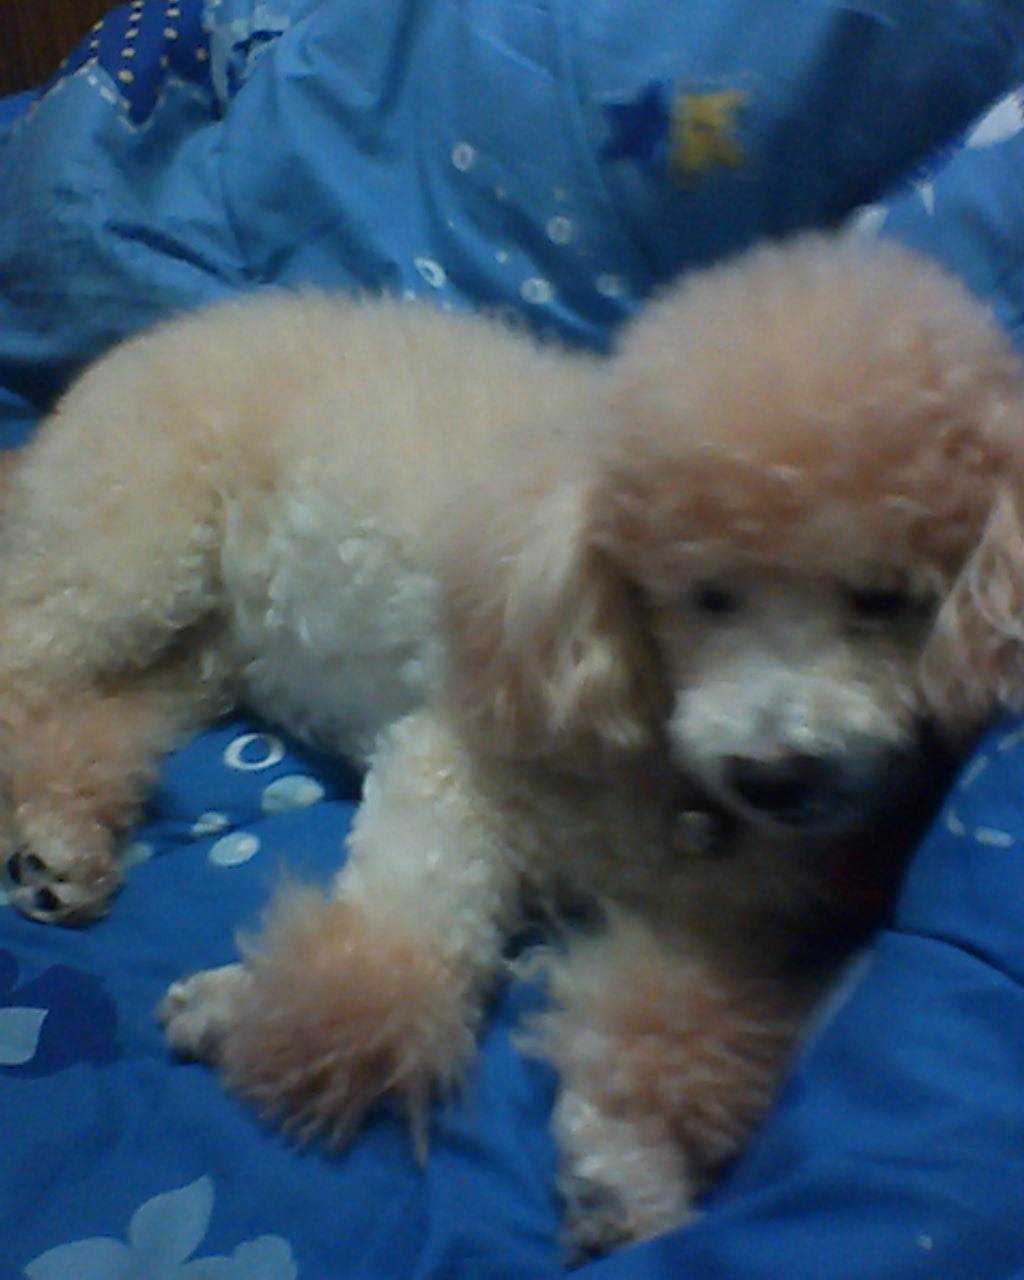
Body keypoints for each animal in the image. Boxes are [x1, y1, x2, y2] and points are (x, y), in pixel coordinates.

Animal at [2, 232, 1023, 1250]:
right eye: (702, 593)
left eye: (887, 597)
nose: (776, 775)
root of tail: (154, 337)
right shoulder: (453, 767)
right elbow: (396, 940)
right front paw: (262, 1018)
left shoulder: (720, 922)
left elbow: (662, 1024)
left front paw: (630, 1176)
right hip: (132, 554)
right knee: (25, 672)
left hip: (201, 644)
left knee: (101, 714)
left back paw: (61, 845)